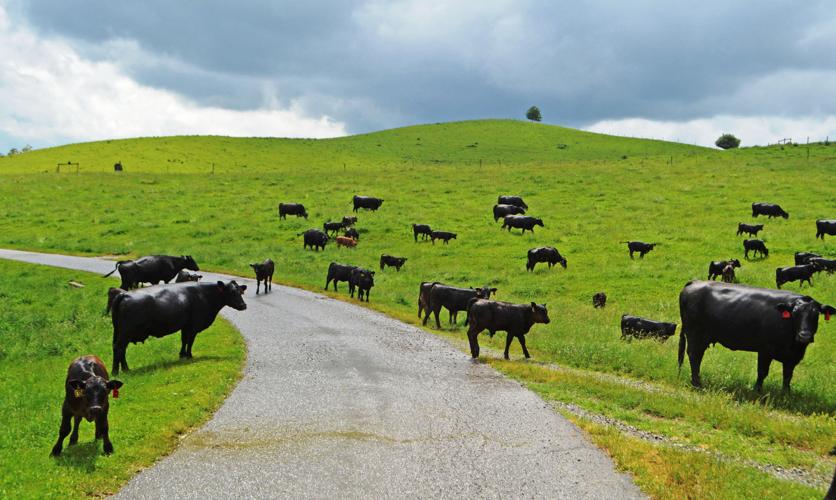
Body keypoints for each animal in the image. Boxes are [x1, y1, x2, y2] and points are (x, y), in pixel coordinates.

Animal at [110, 280, 247, 374]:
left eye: (240, 292)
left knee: (119, 348)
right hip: (126, 332)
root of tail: (124, 294)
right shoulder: (193, 326)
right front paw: (189, 355)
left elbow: (184, 340)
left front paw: (182, 355)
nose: (243, 305)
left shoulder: (185, 326)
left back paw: (123, 369)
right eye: (232, 292)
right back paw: (118, 371)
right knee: (119, 348)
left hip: (119, 331)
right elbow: (190, 341)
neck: (205, 295)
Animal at [678, 280, 834, 391]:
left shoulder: (792, 357)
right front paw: (757, 391)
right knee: (694, 355)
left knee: (697, 356)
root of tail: (695, 282)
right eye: (795, 313)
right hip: (694, 334)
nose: (805, 336)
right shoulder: (765, 350)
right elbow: (762, 372)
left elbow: (787, 376)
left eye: (816, 314)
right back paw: (697, 383)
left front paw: (786, 394)